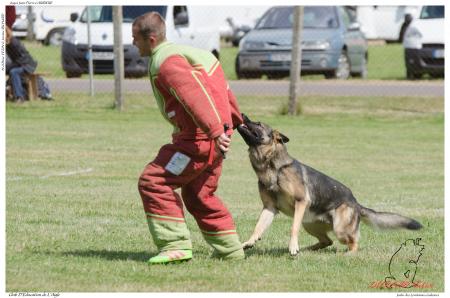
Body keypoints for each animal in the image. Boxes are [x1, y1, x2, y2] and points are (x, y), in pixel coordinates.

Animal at [237, 114, 424, 256]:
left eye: (258, 124)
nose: (243, 115)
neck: (273, 167)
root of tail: (356, 203)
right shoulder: (270, 208)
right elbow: (258, 227)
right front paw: (249, 242)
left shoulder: (301, 202)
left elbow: (293, 228)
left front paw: (293, 247)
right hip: (310, 224)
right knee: (327, 241)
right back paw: (309, 249)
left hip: (339, 228)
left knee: (352, 241)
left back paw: (348, 253)